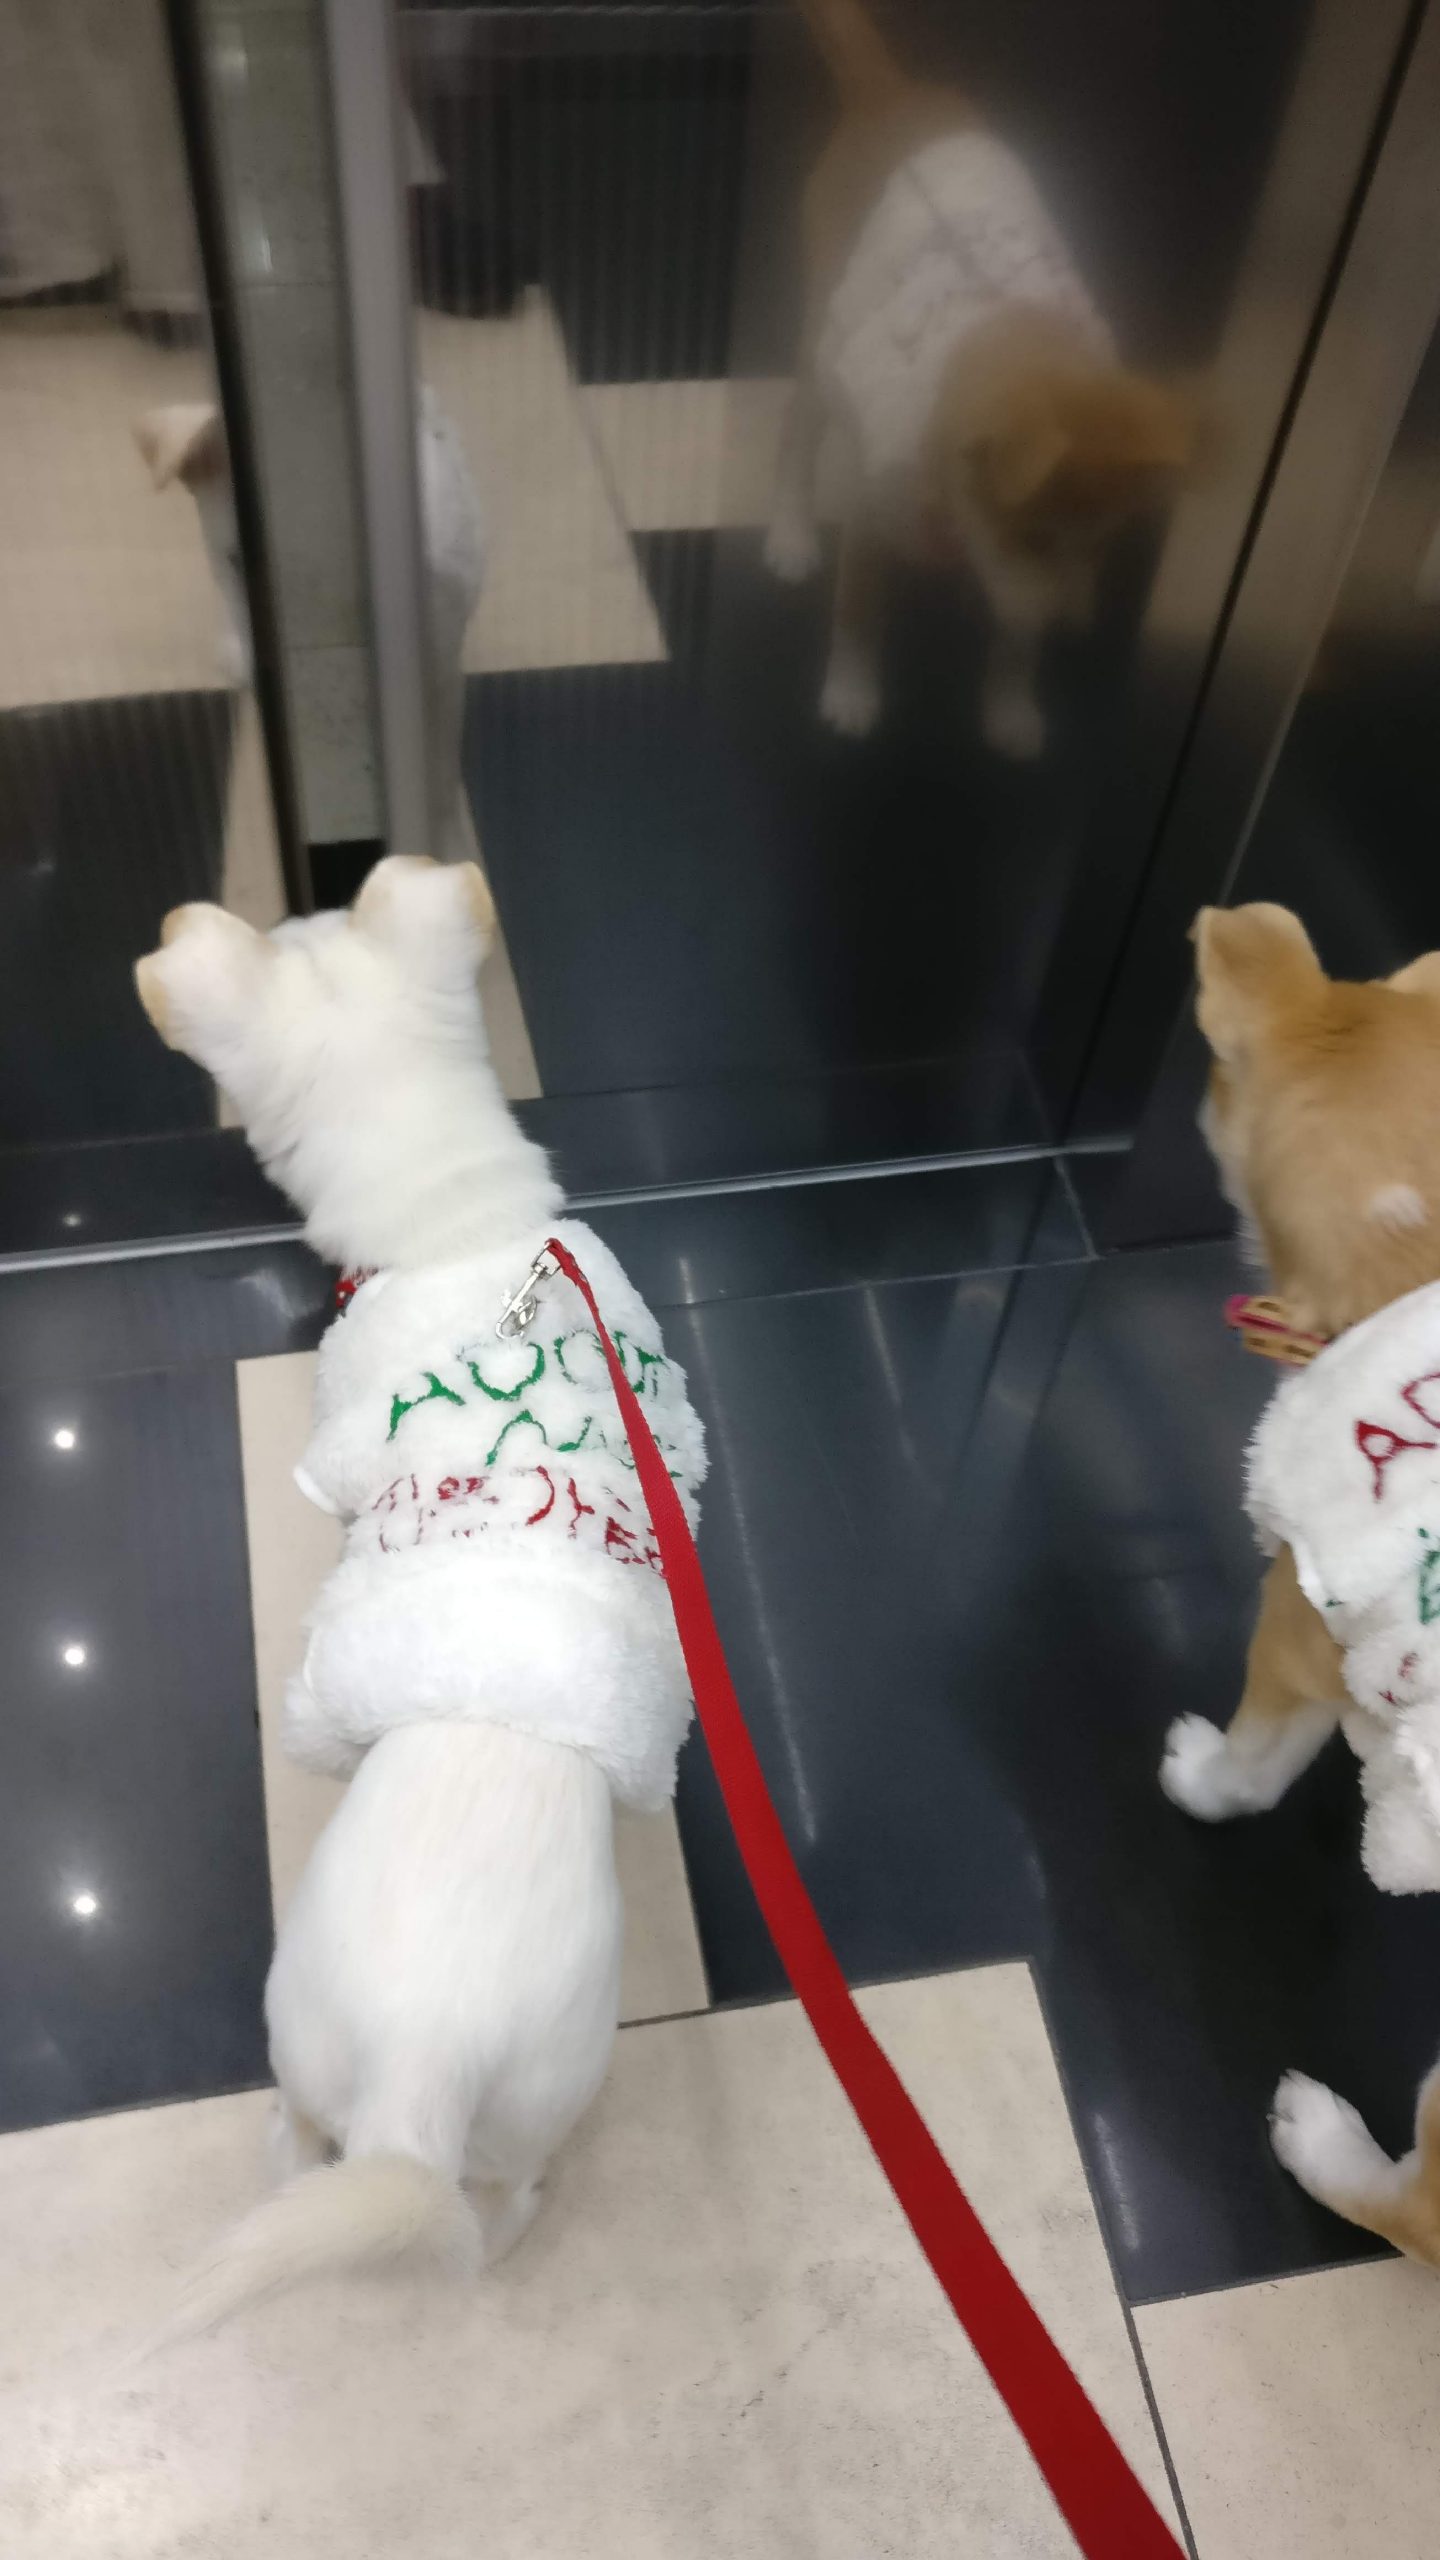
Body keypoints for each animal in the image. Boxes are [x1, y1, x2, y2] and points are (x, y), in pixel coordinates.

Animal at [134, 857, 706, 2331]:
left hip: (310, 2038)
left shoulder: (333, 1452)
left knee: (366, 2165)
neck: (462, 1234)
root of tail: (417, 2085)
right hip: (504, 2093)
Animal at [765, 0, 1193, 753]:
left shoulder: (1019, 593)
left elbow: (1014, 639)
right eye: (1034, 538)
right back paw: (789, 533)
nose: (1074, 631)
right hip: (822, 336)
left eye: (1105, 545)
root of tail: (893, 98)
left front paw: (1010, 707)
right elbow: (858, 615)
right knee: (798, 432)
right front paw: (851, 694)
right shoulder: (871, 527)